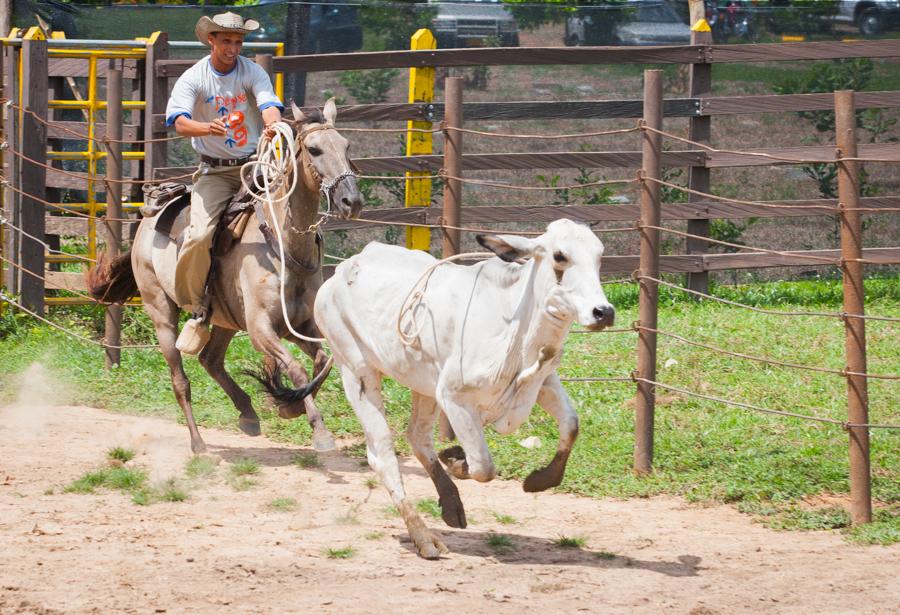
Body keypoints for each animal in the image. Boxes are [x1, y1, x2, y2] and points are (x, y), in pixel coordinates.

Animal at [86, 101, 362, 454]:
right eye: (314, 149)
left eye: (346, 146)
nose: (351, 201)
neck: (284, 244)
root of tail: (147, 221)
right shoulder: (261, 329)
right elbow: (299, 370)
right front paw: (318, 429)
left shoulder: (299, 326)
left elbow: (321, 362)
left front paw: (290, 405)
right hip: (161, 311)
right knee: (181, 380)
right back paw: (199, 444)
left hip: (225, 318)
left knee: (211, 360)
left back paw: (248, 414)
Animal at [266, 220, 612, 560]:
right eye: (559, 256)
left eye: (599, 256)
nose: (604, 312)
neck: (513, 324)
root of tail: (341, 271)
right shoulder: (453, 396)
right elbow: (483, 466)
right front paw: (459, 461)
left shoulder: (545, 382)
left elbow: (570, 424)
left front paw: (539, 479)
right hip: (357, 372)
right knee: (382, 454)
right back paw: (423, 537)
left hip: (423, 384)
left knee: (418, 437)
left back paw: (451, 504)